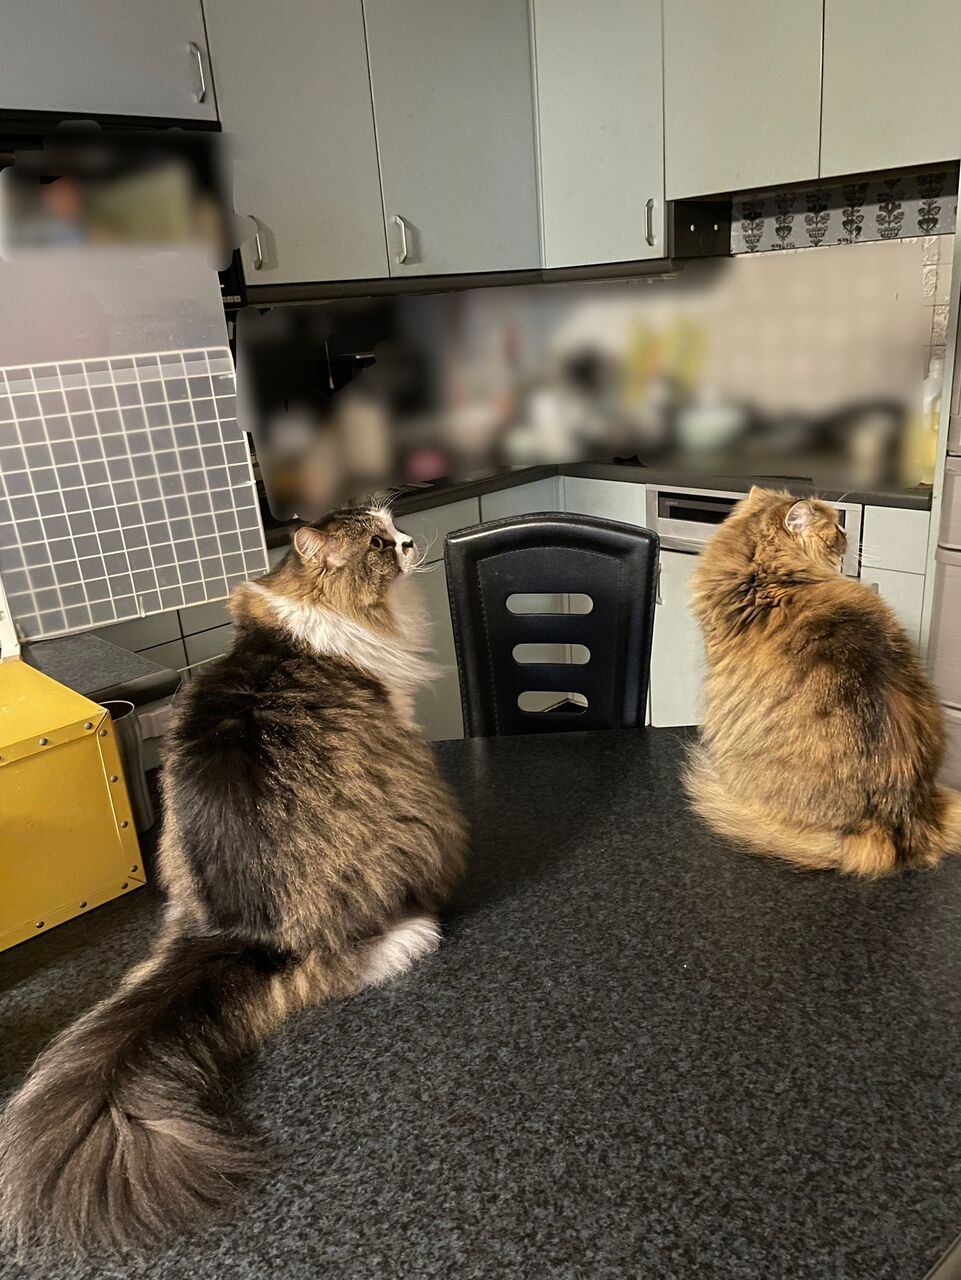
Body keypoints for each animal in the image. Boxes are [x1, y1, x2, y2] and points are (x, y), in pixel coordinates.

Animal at [0, 506, 467, 1256]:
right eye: (376, 543)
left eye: (389, 524)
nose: (407, 540)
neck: (305, 610)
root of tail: (240, 930)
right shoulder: (396, 713)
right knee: (340, 964)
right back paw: (411, 938)